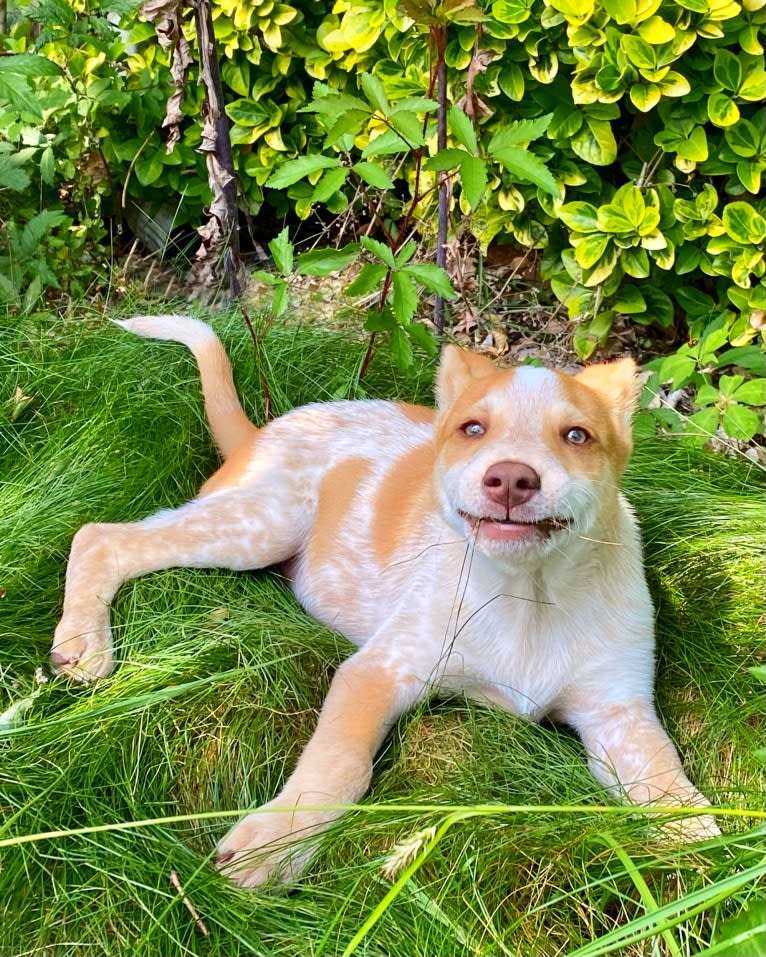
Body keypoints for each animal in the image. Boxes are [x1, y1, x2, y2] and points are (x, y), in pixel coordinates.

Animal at [51, 316, 724, 888]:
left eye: (577, 435)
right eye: (472, 429)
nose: (510, 479)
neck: (526, 595)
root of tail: (263, 431)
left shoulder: (619, 711)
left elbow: (669, 786)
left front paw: (711, 861)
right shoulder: (378, 671)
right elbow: (339, 764)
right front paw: (275, 842)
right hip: (258, 524)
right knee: (101, 536)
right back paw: (83, 643)